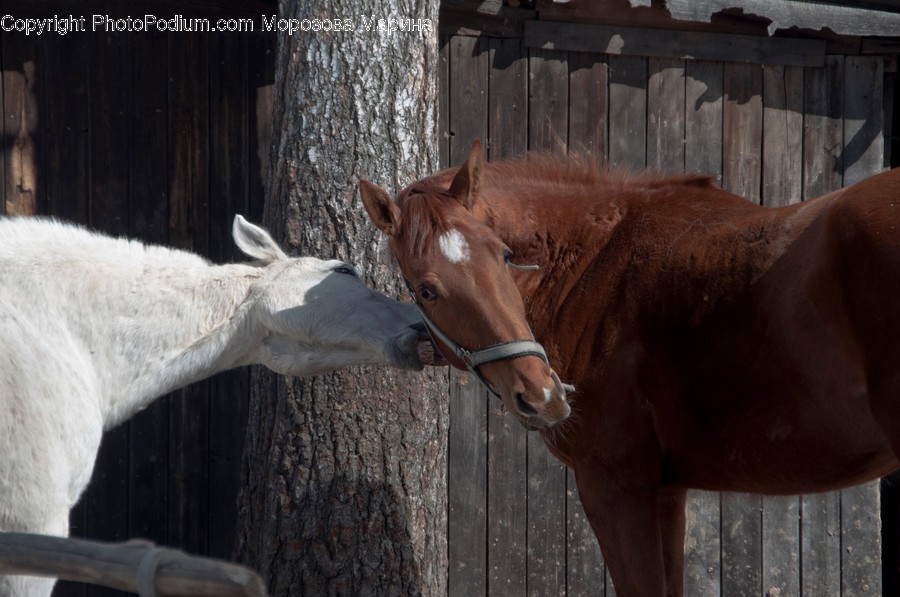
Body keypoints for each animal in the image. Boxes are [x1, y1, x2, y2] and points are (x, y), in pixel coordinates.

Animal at [360, 139, 900, 596]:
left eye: (505, 255)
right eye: (426, 289)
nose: (543, 395)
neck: (599, 263)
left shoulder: (616, 486)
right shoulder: (666, 492)